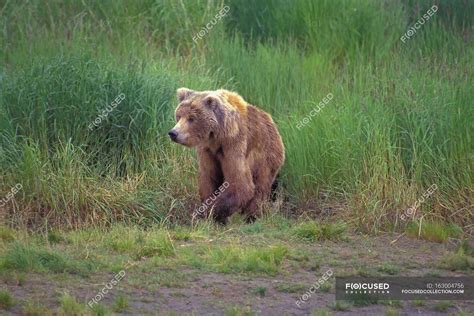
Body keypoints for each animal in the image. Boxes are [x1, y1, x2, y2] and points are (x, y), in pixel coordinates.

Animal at [168, 87, 284, 223]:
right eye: (179, 115)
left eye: (192, 118)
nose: (173, 133)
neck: (216, 137)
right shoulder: (207, 150)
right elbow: (208, 177)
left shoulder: (234, 145)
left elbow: (240, 183)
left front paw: (209, 213)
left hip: (266, 156)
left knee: (260, 186)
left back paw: (252, 216)